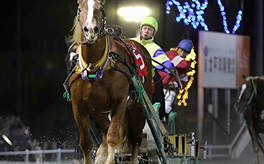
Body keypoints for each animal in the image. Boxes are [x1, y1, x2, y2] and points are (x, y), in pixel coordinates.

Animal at [66, 0, 153, 164]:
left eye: (101, 9)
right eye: (80, 9)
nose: (91, 30)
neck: (95, 67)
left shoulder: (120, 102)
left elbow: (113, 136)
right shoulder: (79, 106)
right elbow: (86, 143)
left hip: (138, 106)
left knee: (136, 137)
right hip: (98, 110)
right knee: (105, 129)